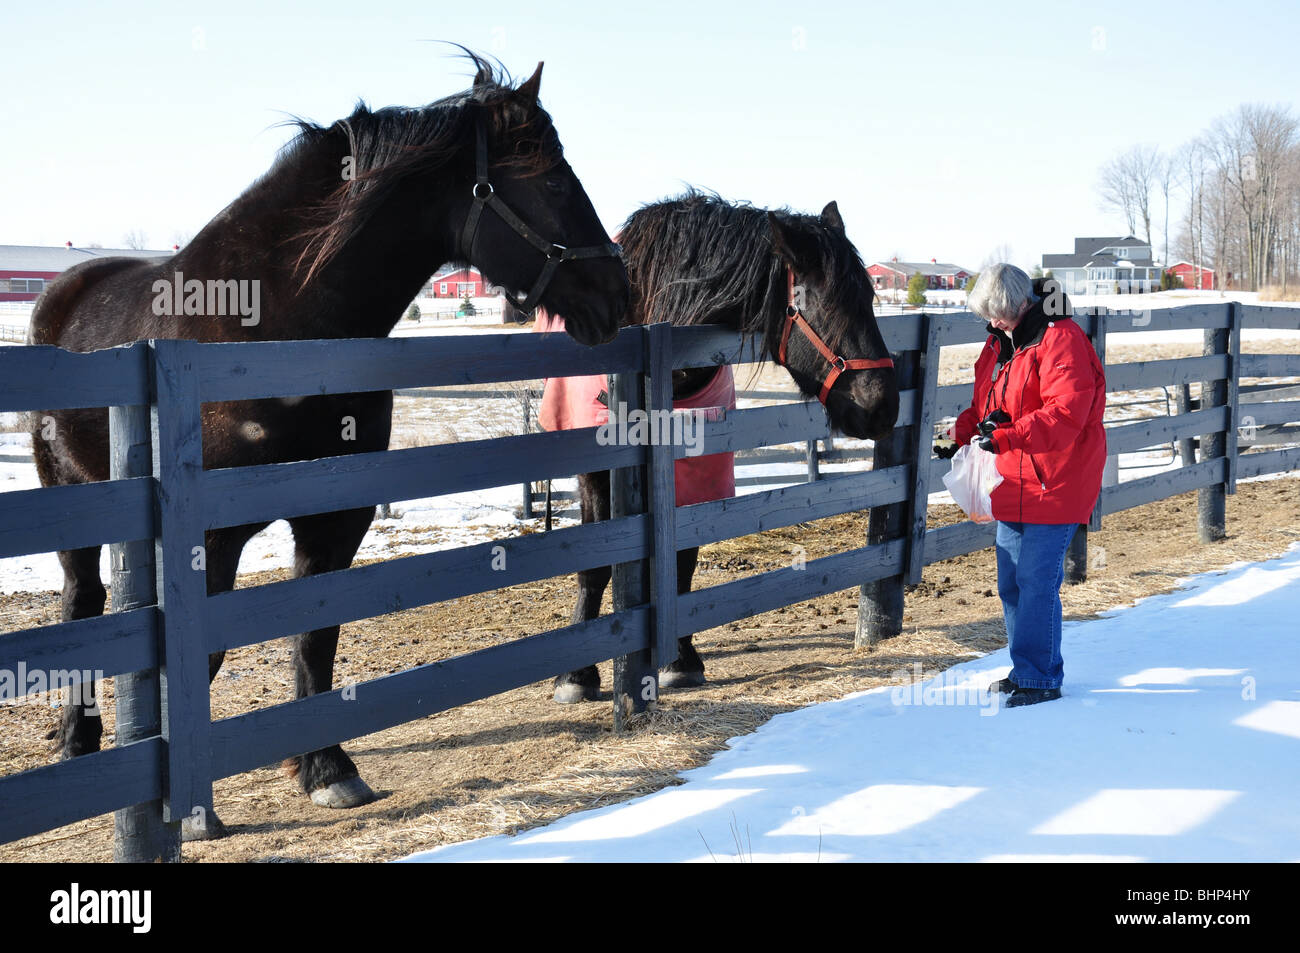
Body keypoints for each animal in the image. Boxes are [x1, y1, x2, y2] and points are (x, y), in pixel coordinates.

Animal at [32, 57, 631, 832]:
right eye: (554, 179)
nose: (619, 293)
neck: (272, 330)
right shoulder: (213, 536)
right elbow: (207, 652)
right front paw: (194, 808)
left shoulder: (336, 519)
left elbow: (315, 638)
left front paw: (326, 768)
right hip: (65, 489)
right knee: (80, 598)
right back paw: (77, 737)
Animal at [548, 191, 894, 707]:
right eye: (824, 302)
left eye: (870, 297)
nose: (884, 406)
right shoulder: (595, 475)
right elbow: (595, 571)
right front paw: (576, 674)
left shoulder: (699, 472)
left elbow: (683, 564)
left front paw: (680, 660)